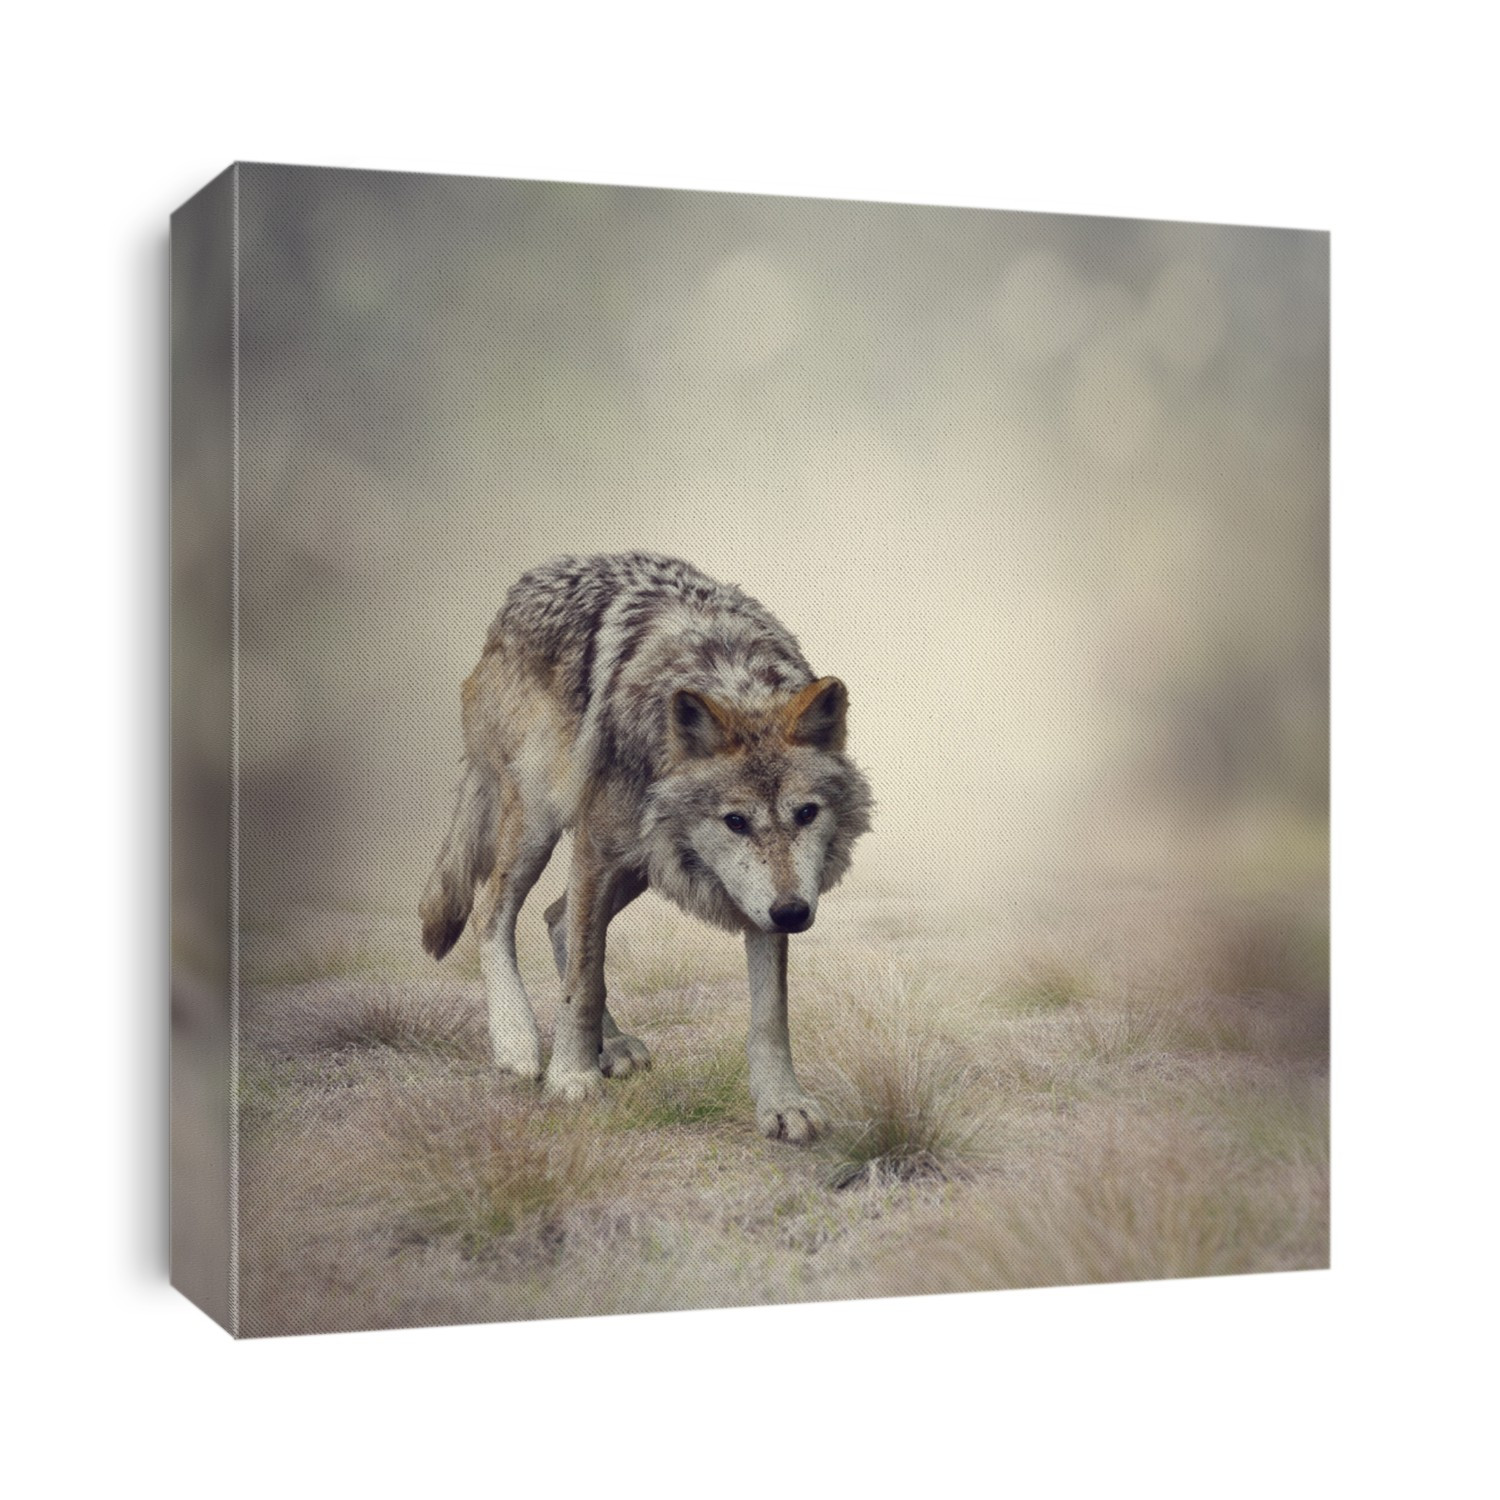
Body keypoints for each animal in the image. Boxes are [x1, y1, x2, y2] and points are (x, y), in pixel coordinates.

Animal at [419, 552, 874, 1141]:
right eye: (735, 821)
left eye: (806, 814)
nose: (793, 913)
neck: (730, 680)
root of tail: (517, 594)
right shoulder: (596, 849)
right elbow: (583, 981)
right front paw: (571, 1078)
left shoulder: (755, 898)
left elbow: (771, 1015)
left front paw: (782, 1103)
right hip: (542, 819)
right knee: (494, 910)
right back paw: (517, 1041)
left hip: (646, 861)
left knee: (557, 917)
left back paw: (610, 1045)